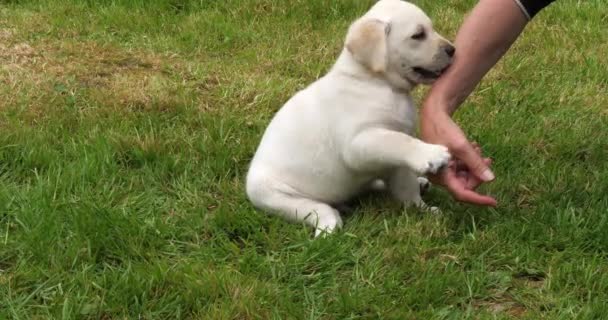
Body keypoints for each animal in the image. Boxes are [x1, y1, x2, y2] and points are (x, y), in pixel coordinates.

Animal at [245, 0, 454, 238]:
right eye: (418, 35)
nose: (452, 50)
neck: (375, 82)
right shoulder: (358, 143)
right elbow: (397, 141)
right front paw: (431, 154)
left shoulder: (396, 162)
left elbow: (406, 186)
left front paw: (423, 210)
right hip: (276, 195)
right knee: (320, 209)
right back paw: (328, 226)